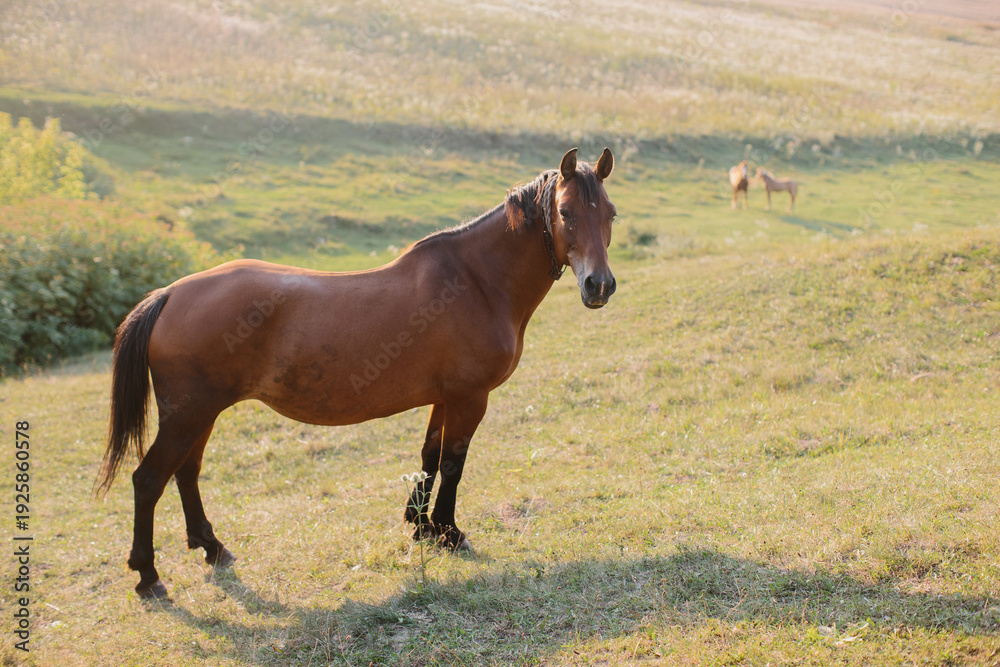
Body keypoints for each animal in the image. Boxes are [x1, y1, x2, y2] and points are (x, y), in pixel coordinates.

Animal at [96, 148, 618, 600]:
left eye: (610, 213)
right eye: (567, 212)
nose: (599, 285)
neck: (476, 281)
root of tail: (170, 294)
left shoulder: (444, 398)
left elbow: (428, 457)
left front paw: (421, 527)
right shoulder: (469, 398)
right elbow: (452, 463)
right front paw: (449, 533)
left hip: (199, 416)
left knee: (186, 473)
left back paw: (211, 547)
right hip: (187, 416)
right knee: (149, 480)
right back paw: (147, 574)